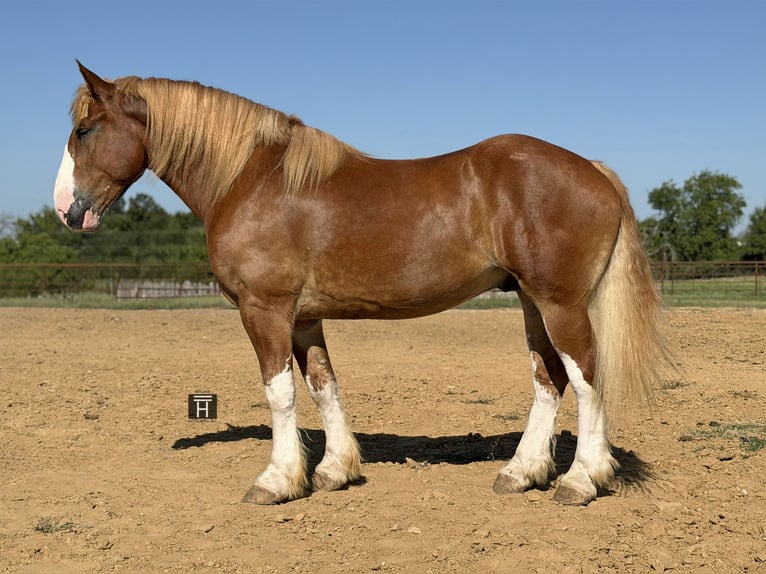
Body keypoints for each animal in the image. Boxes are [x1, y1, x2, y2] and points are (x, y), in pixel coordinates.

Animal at [54, 62, 668, 506]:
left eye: (85, 130)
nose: (66, 210)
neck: (254, 180)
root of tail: (592, 169)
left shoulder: (264, 310)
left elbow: (280, 393)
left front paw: (277, 481)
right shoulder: (303, 316)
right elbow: (323, 385)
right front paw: (334, 471)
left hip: (560, 302)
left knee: (585, 379)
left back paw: (581, 480)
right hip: (531, 302)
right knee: (549, 379)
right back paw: (521, 473)